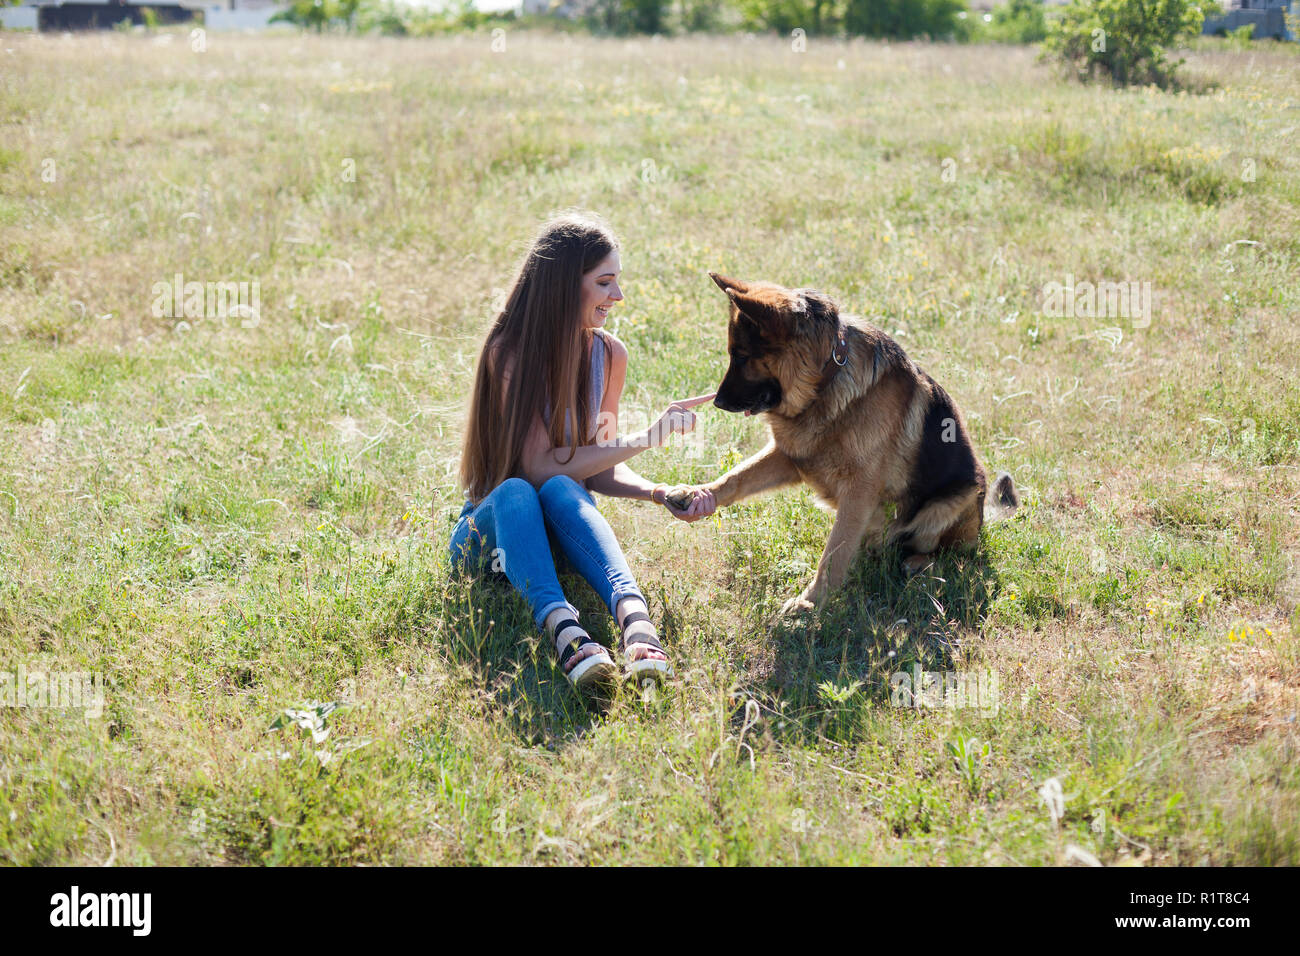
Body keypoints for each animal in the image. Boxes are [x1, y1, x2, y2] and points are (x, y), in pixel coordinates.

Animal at [702, 274, 1013, 621]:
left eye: (742, 356)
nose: (717, 402)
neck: (826, 380)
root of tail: (982, 520)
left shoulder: (858, 490)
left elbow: (833, 554)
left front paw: (811, 603)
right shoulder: (789, 456)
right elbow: (737, 477)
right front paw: (695, 494)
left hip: (953, 499)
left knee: (952, 554)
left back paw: (919, 562)